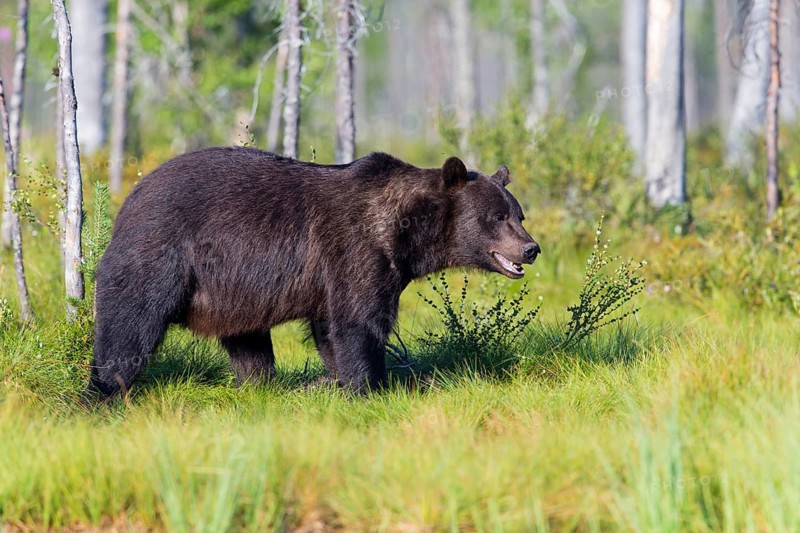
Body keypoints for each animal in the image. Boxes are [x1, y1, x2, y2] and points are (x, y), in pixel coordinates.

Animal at [89, 147, 540, 396]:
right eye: (496, 217)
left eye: (518, 213)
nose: (531, 248)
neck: (402, 232)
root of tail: (129, 198)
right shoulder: (355, 250)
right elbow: (359, 324)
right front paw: (370, 386)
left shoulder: (337, 277)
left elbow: (330, 331)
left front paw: (340, 381)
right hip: (160, 253)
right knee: (129, 326)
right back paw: (104, 390)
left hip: (233, 291)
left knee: (248, 343)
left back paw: (257, 384)